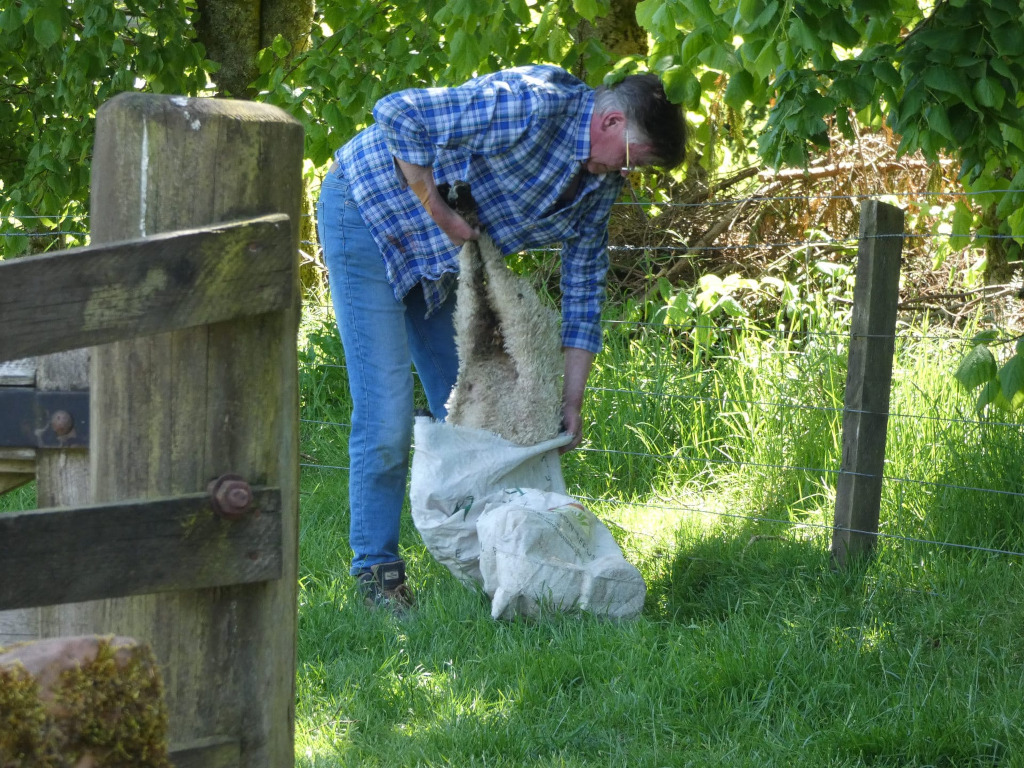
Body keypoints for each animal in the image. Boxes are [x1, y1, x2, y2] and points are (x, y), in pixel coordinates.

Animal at [440, 181, 565, 445]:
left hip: (483, 327)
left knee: (477, 271)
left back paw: (462, 204)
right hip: (521, 335)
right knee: (489, 270)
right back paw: (465, 205)